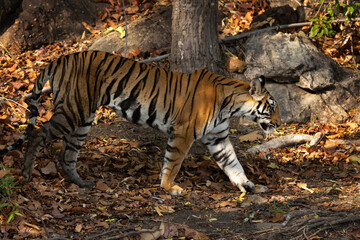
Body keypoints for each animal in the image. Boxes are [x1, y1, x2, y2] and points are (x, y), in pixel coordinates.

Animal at [0, 50, 282, 195]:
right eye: (272, 106)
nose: (280, 124)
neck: (231, 106)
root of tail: (61, 58)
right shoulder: (183, 133)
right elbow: (173, 162)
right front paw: (169, 187)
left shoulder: (218, 138)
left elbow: (233, 164)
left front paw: (248, 184)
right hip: (71, 111)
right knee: (38, 134)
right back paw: (26, 174)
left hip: (83, 119)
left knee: (67, 154)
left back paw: (81, 183)